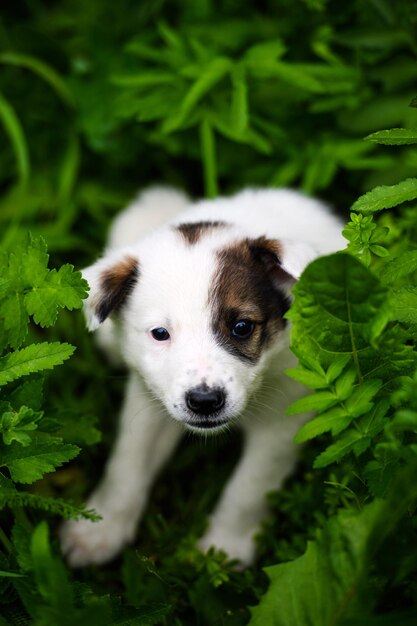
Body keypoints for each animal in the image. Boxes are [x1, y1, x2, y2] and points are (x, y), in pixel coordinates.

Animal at [60, 185, 342, 564]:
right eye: (159, 333)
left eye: (242, 327)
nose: (205, 401)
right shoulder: (148, 401)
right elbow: (127, 465)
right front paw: (99, 530)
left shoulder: (282, 417)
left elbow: (249, 485)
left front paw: (223, 548)